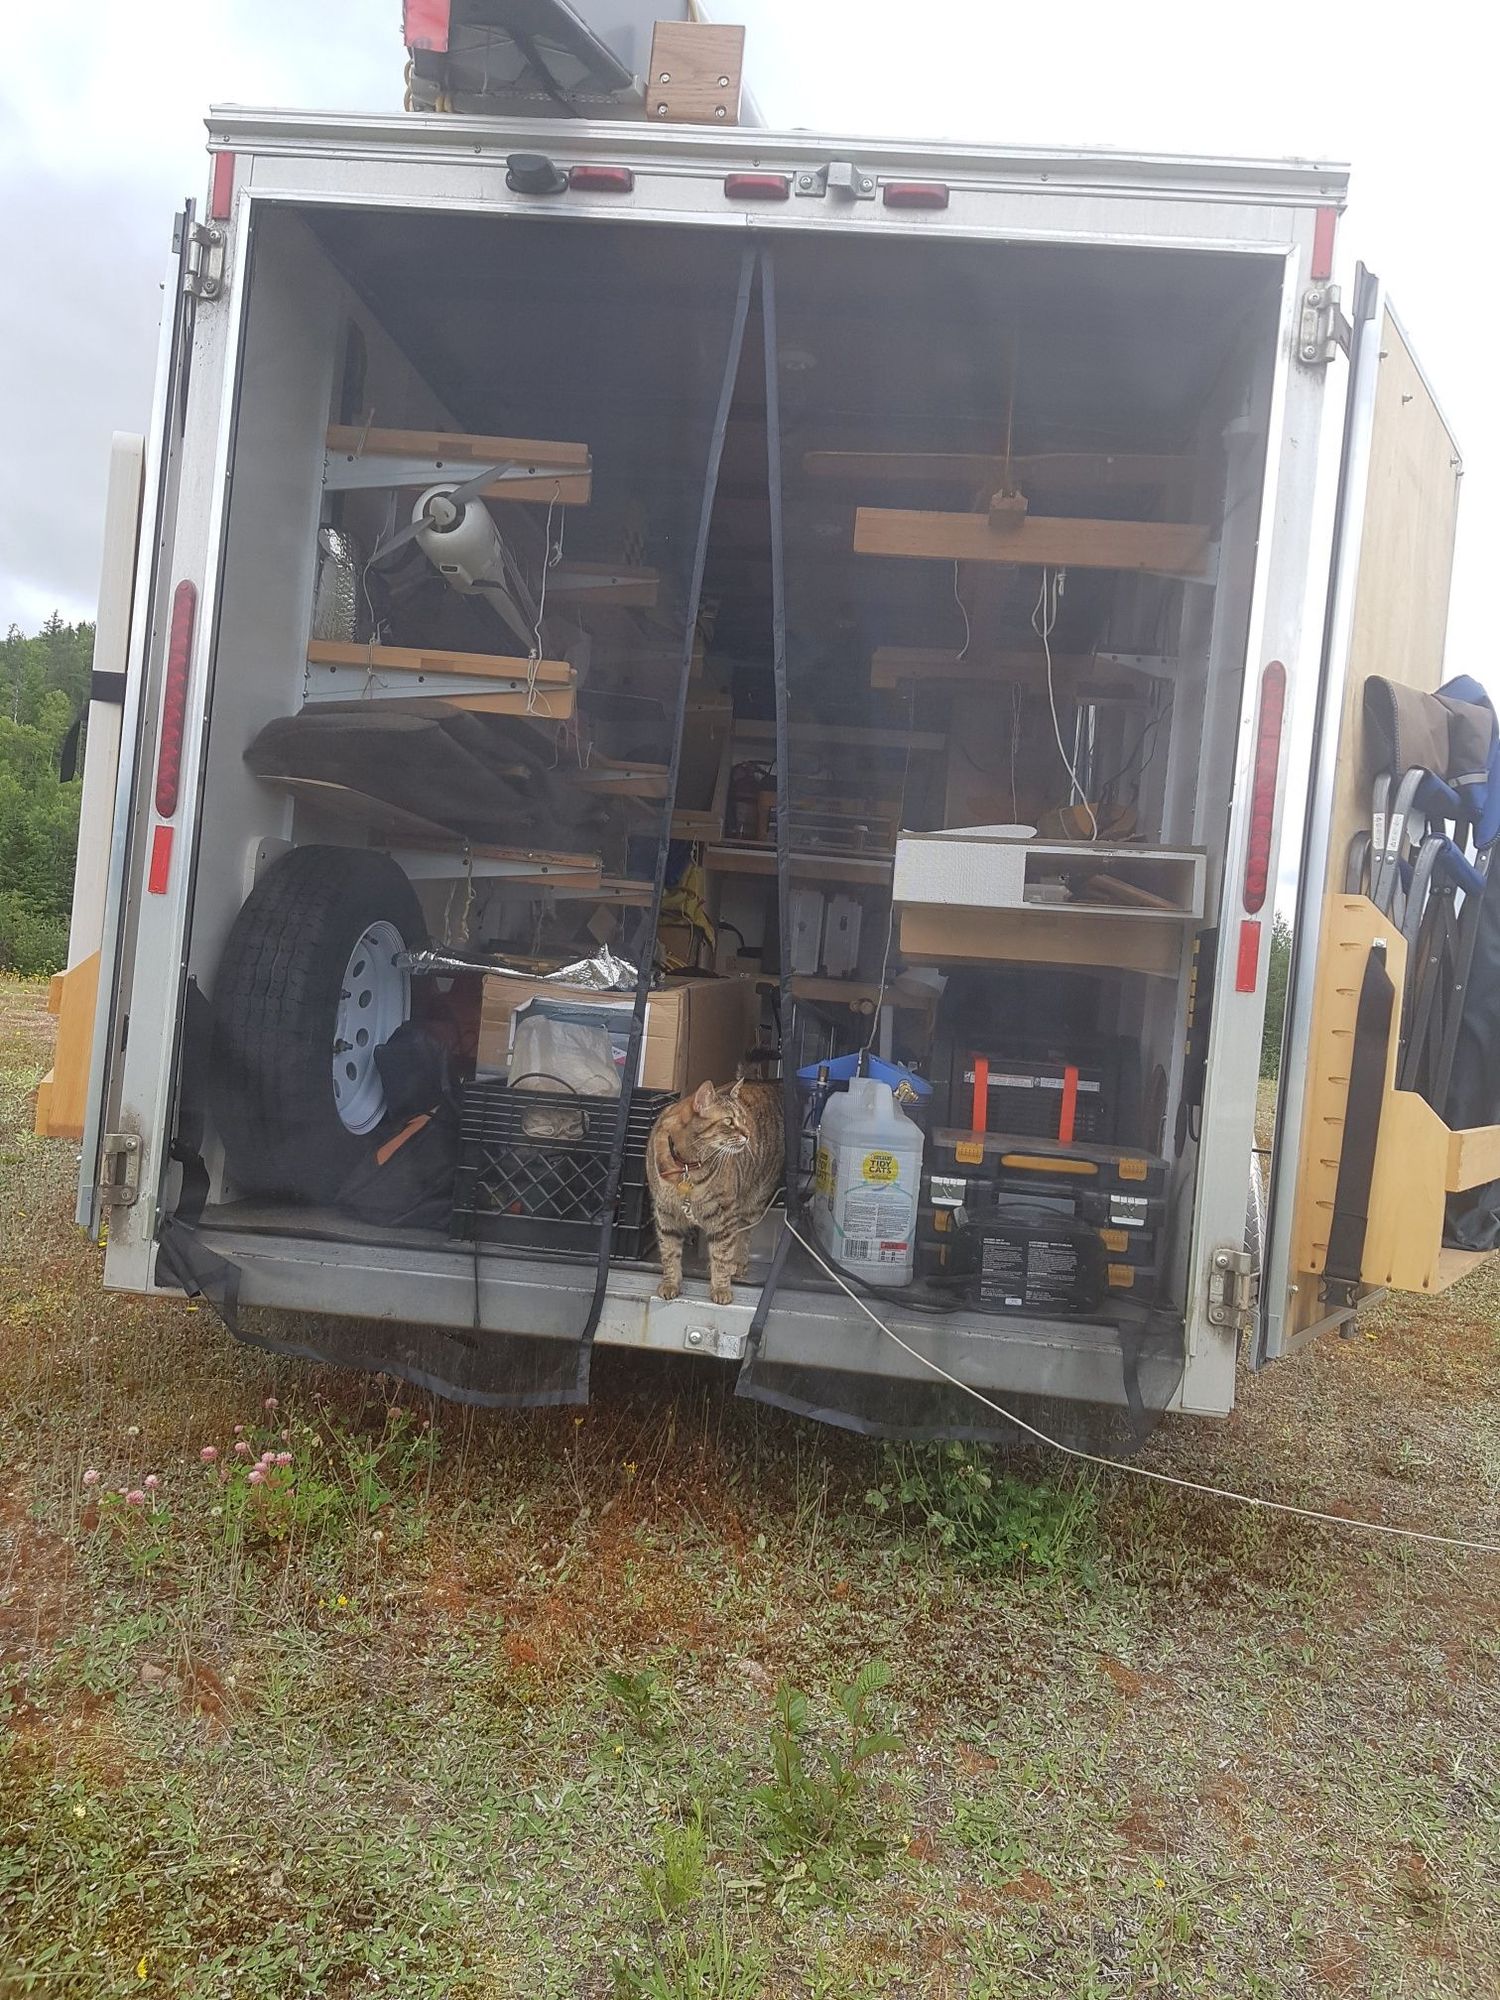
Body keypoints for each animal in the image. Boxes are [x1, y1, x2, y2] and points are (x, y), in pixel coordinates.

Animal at [646, 1079, 783, 1306]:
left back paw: (737, 1264)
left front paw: (721, 1287)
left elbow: (721, 1252)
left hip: (754, 1199)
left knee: (743, 1235)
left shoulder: (724, 1214)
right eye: (729, 1121)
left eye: (743, 1119)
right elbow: (669, 1251)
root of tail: (768, 1084)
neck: (686, 1164)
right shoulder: (665, 1213)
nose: (748, 1134)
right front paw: (671, 1283)